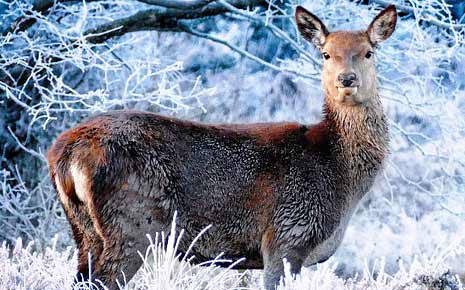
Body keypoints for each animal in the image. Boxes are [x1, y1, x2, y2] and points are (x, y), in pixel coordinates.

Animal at [47, 4, 396, 290]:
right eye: (325, 54)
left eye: (368, 52)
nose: (346, 79)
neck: (338, 173)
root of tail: (64, 154)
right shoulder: (286, 235)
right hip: (132, 223)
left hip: (84, 230)